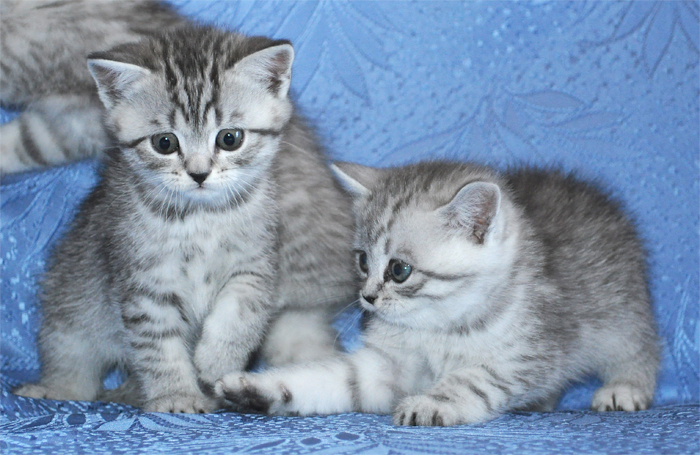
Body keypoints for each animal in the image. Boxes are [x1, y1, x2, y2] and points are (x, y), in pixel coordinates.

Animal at [12, 23, 357, 413]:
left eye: (230, 138)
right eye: (164, 142)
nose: (199, 173)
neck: (202, 219)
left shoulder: (256, 264)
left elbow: (242, 312)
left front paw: (217, 360)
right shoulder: (145, 284)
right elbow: (159, 347)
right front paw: (175, 395)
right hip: (68, 307)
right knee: (73, 366)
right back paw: (57, 388)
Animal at [215, 161, 660, 426]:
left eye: (399, 270)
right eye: (362, 261)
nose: (368, 297)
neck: (437, 326)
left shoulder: (526, 355)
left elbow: (472, 380)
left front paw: (432, 402)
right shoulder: (386, 366)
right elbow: (333, 378)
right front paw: (260, 389)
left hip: (620, 309)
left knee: (640, 347)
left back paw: (625, 387)